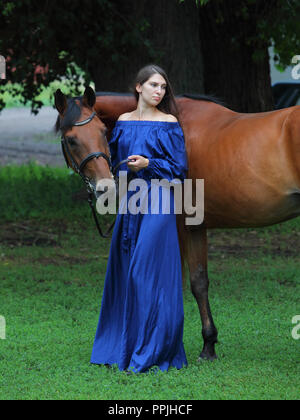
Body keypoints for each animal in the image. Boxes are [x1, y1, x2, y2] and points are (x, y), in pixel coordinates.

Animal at [54, 88, 300, 360]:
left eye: (100, 131)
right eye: (71, 139)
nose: (104, 187)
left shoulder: (181, 226)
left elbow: (180, 282)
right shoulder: (196, 227)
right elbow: (200, 282)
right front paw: (208, 345)